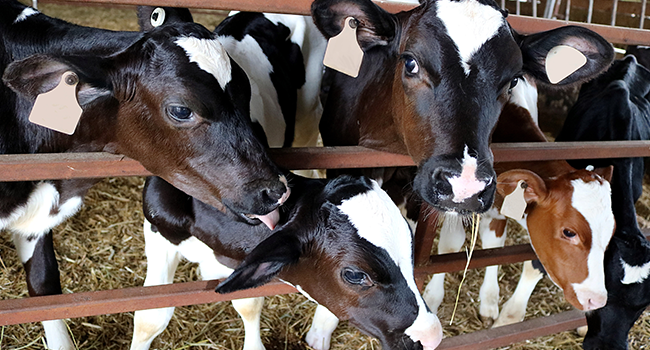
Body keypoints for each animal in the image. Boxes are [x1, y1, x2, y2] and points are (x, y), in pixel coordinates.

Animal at [135, 173, 442, 350]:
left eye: (411, 249)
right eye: (355, 275)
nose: (432, 336)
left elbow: (248, 305)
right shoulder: (156, 229)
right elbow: (150, 317)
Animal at [420, 75, 612, 324]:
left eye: (611, 232)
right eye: (569, 232)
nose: (596, 300)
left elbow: (494, 245)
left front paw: (489, 301)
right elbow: (450, 245)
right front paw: (432, 299)